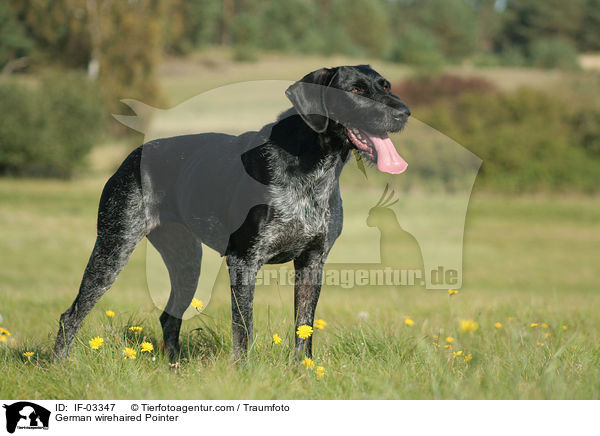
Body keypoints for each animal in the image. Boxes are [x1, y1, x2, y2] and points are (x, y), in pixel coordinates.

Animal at [54, 65, 410, 362]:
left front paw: (303, 371)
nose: (404, 113)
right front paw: (243, 372)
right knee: (71, 315)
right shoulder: (244, 261)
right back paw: (61, 367)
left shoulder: (312, 262)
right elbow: (244, 330)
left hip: (186, 260)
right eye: (355, 91)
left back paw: (174, 367)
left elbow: (303, 329)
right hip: (114, 248)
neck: (315, 167)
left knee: (169, 317)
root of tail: (131, 156)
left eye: (386, 86)